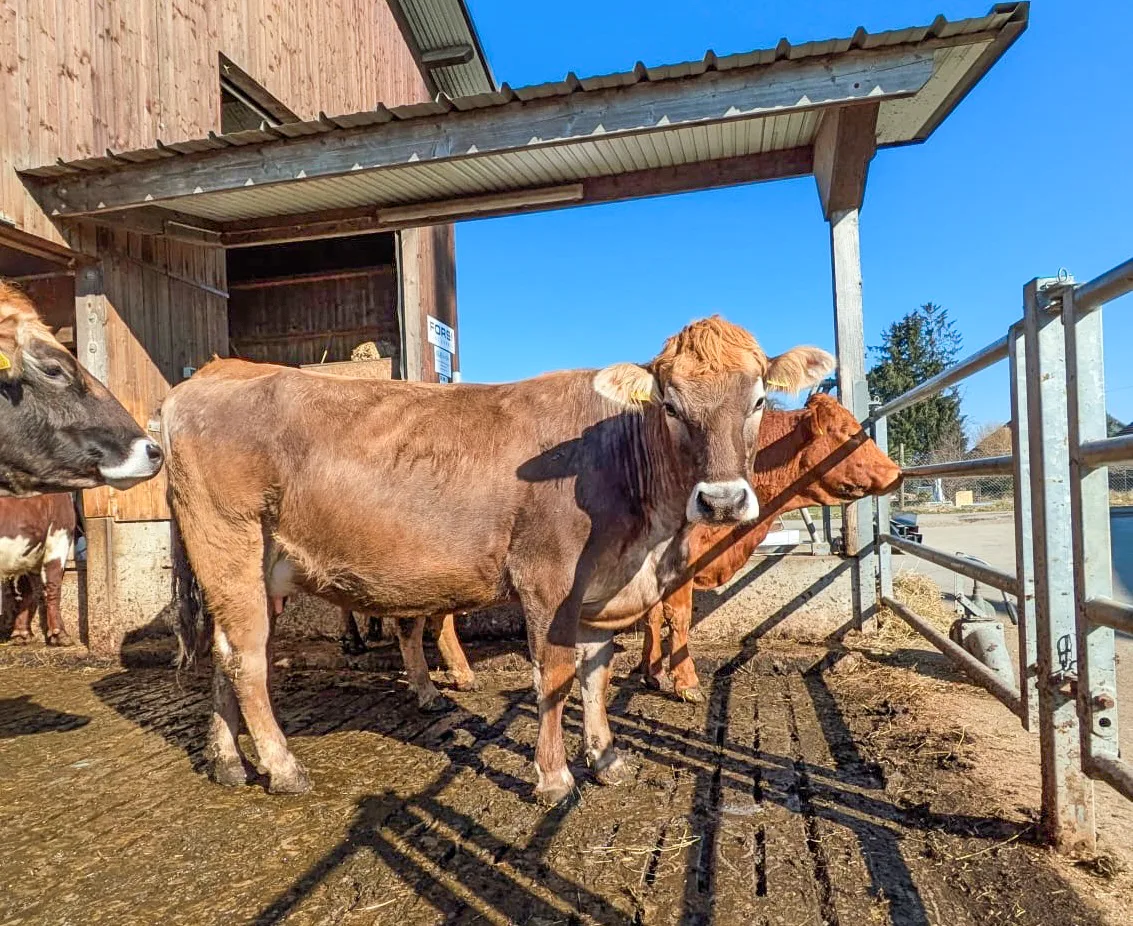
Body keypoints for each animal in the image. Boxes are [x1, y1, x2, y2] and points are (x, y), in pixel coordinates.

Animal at [0, 493, 76, 646]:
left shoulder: (22, 555)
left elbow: (24, 592)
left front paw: (21, 634)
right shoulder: (58, 539)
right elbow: (53, 586)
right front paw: (60, 634)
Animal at [163, 316, 833, 804]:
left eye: (758, 400)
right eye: (669, 405)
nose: (721, 500)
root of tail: (205, 378)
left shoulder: (597, 590)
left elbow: (596, 674)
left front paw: (606, 758)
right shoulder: (548, 580)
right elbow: (554, 678)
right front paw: (555, 778)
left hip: (249, 568)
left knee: (222, 654)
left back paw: (227, 761)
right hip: (229, 541)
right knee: (248, 658)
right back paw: (282, 767)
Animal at [390, 394, 901, 705]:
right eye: (844, 432)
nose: (896, 472)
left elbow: (654, 617)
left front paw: (650, 670)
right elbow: (679, 618)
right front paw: (686, 681)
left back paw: (455, 676)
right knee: (420, 623)